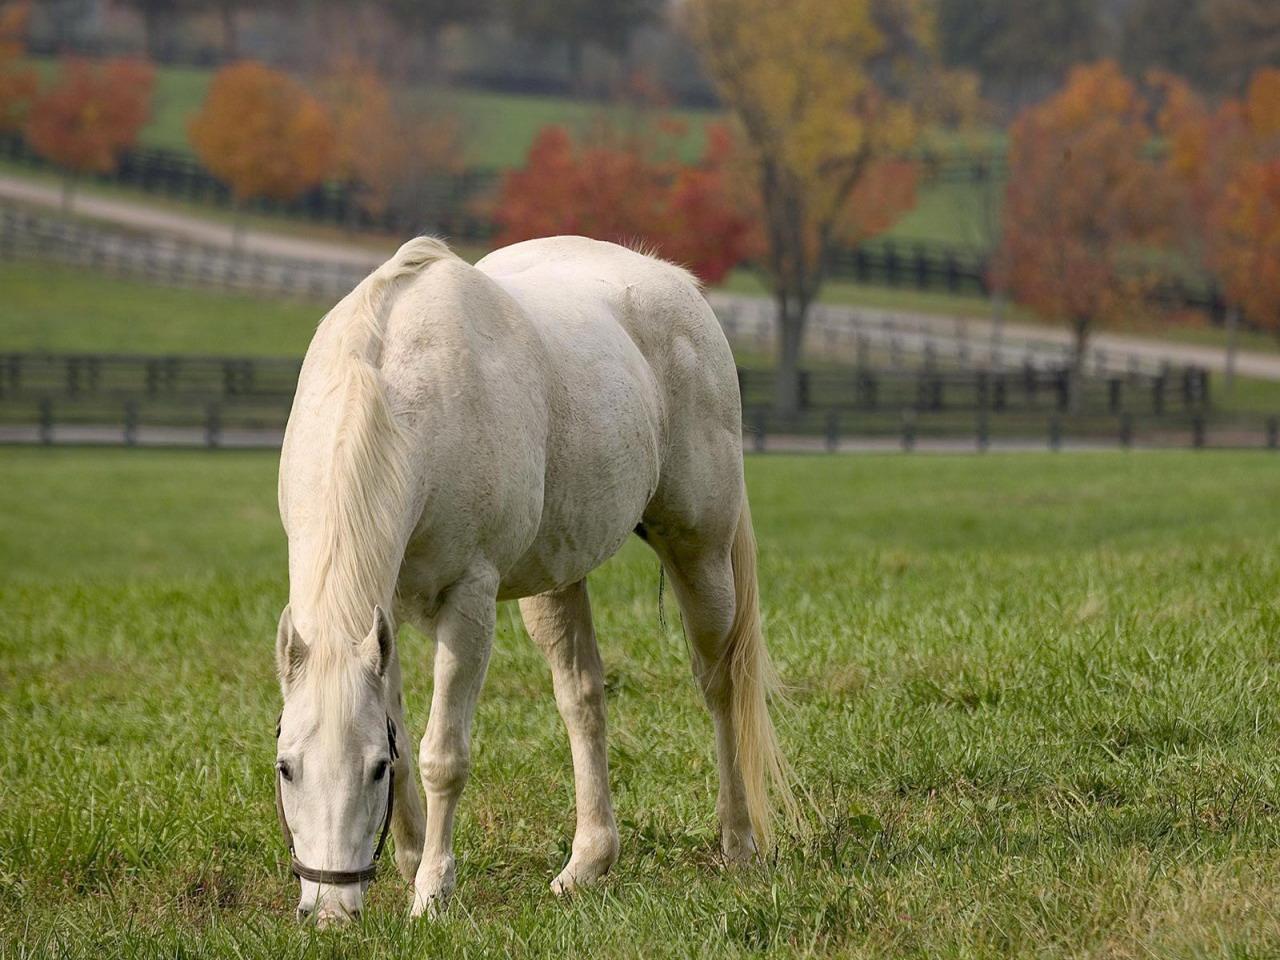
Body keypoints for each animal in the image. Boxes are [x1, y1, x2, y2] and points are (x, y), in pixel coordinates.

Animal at [277, 235, 788, 926]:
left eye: (373, 770)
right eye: (286, 768)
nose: (329, 910)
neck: (397, 395)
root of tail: (678, 284)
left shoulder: (469, 602)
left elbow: (441, 756)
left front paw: (431, 893)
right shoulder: (382, 614)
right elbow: (406, 731)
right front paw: (410, 864)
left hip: (700, 552)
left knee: (720, 685)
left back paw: (738, 843)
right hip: (557, 580)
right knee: (583, 699)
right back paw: (587, 864)